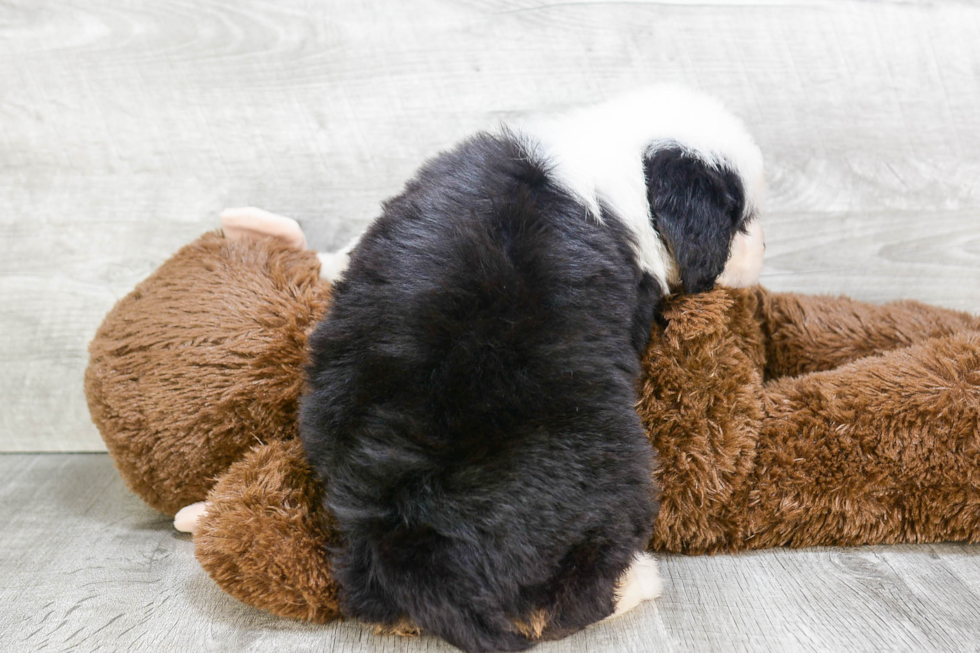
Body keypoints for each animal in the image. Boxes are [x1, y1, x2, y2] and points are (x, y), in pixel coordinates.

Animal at [298, 86, 764, 652]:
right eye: (741, 220)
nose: (763, 247)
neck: (617, 154)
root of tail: (404, 536)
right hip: (616, 474)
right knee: (570, 606)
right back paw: (640, 581)